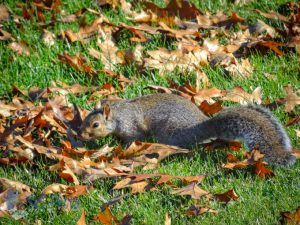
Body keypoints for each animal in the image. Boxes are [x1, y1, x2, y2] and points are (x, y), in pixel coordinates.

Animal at [78, 92, 296, 166]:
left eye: (95, 125)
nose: (80, 134)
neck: (117, 114)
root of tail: (201, 125)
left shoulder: (132, 127)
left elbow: (132, 139)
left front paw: (124, 150)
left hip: (170, 133)